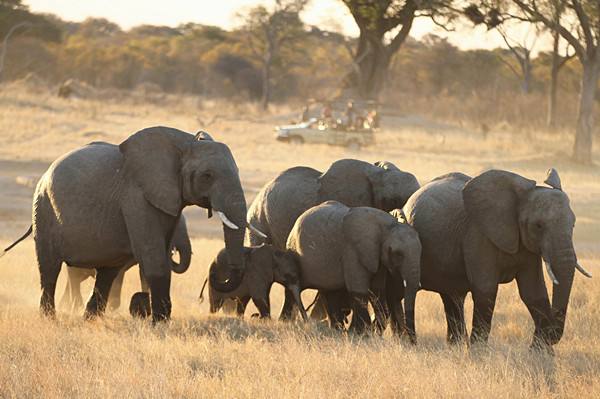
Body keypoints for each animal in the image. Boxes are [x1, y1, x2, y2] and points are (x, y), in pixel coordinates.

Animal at [57, 216, 191, 316]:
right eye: (174, 230)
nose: (172, 251)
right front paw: (112, 308)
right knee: (74, 277)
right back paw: (76, 306)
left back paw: (65, 305)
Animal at [278, 200, 420, 338]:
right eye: (397, 254)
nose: (413, 342)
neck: (387, 226)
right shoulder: (353, 250)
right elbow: (359, 291)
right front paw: (360, 334)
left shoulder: (377, 257)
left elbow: (377, 291)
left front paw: (366, 332)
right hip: (293, 251)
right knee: (294, 288)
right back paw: (285, 322)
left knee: (330, 293)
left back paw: (336, 329)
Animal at [404, 169, 592, 350]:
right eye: (538, 226)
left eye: (573, 225)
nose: (552, 336)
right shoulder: (478, 235)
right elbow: (486, 290)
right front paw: (478, 355)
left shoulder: (527, 247)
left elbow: (533, 292)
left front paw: (540, 353)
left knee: (452, 296)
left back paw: (454, 347)